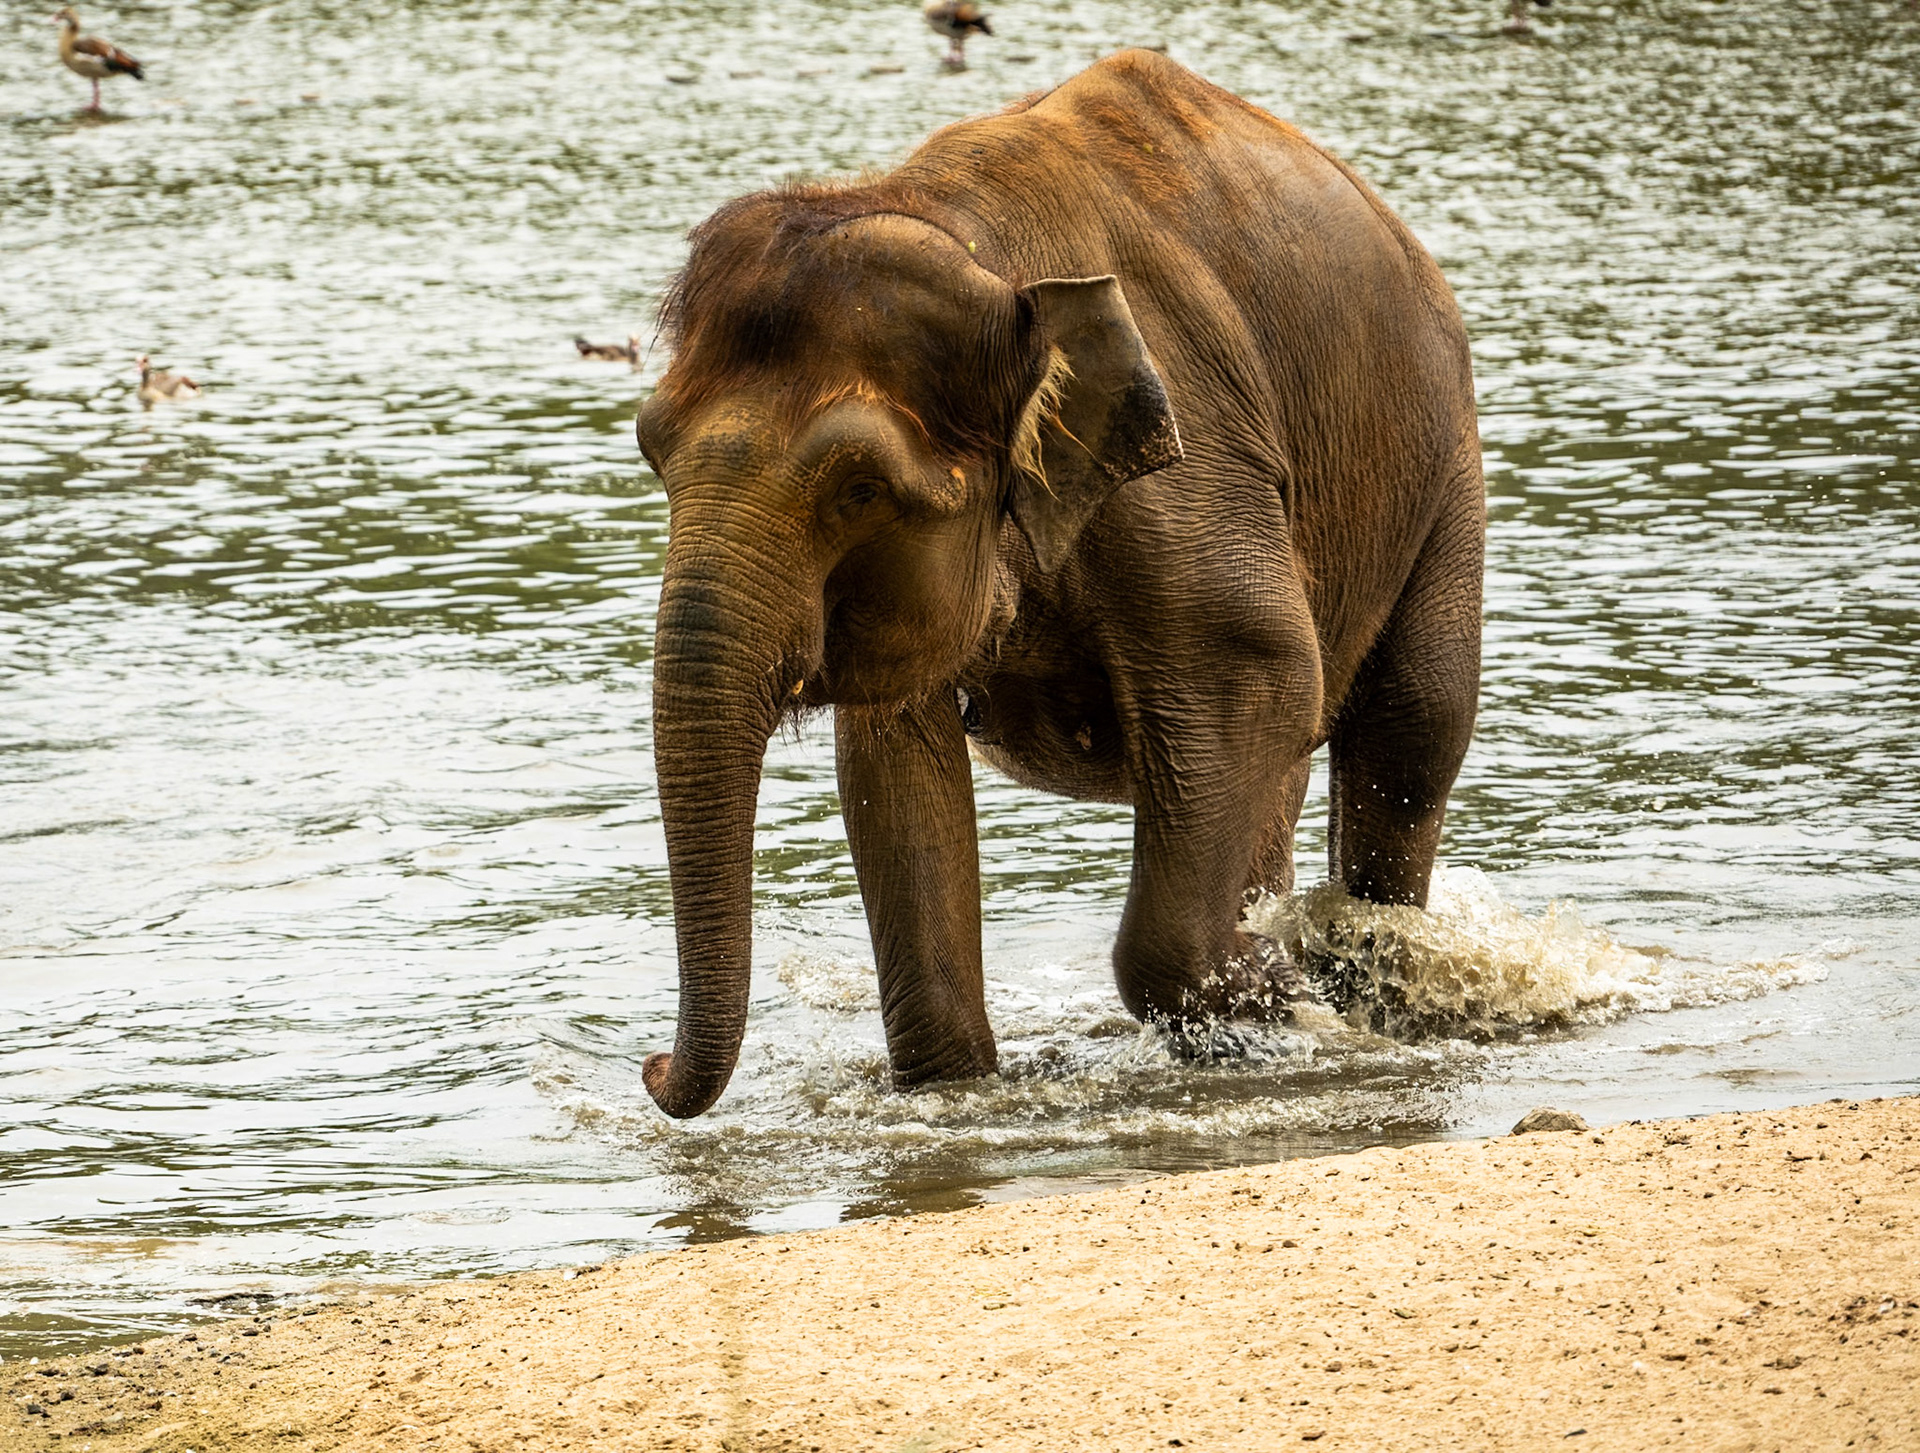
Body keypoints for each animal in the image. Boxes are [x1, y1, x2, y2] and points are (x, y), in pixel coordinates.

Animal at [634, 50, 1484, 1118]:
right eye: (650, 449)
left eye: (859, 488)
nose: (648, 1065)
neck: (970, 241)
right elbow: (893, 762)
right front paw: (954, 1091)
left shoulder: (1192, 468)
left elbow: (1259, 670)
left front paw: (1281, 991)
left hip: (1444, 465)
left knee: (1408, 733)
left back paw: (1361, 971)